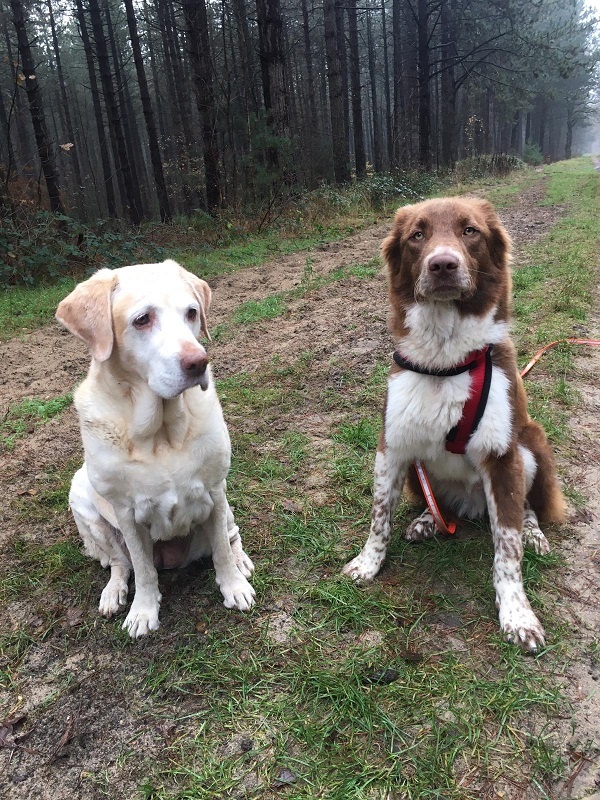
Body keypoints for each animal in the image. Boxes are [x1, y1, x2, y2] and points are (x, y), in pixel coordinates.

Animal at [56, 259, 255, 638]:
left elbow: (221, 550)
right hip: (81, 496)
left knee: (230, 535)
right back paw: (114, 593)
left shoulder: (214, 491)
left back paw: (242, 561)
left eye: (192, 313)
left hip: (224, 504)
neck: (161, 432)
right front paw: (143, 612)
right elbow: (144, 570)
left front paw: (234, 586)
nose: (199, 362)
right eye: (142, 319)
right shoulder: (127, 515)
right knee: (121, 563)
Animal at [342, 197, 565, 652]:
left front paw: (517, 615)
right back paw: (429, 521)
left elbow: (508, 549)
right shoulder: (392, 445)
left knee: (527, 508)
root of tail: (473, 505)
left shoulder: (502, 455)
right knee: (440, 502)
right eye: (417, 235)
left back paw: (534, 534)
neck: (444, 362)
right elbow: (379, 516)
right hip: (420, 471)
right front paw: (368, 564)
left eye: (470, 231)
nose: (442, 265)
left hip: (530, 443)